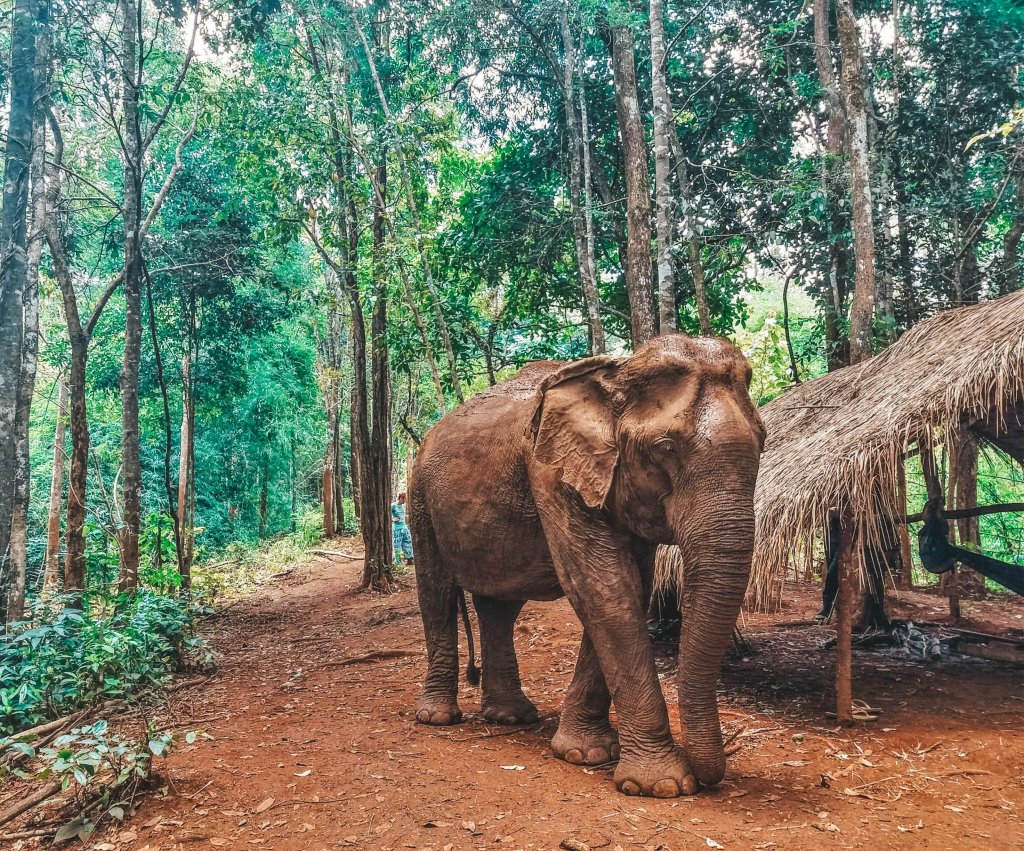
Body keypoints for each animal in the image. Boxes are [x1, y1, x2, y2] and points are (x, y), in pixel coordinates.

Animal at [411, 333, 765, 798]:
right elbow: (604, 588)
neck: (616, 370)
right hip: (418, 497)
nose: (708, 780)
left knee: (498, 606)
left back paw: (510, 716)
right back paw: (437, 717)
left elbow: (631, 587)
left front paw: (586, 754)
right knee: (435, 592)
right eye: (665, 448)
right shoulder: (552, 474)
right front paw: (661, 786)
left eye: (763, 441)